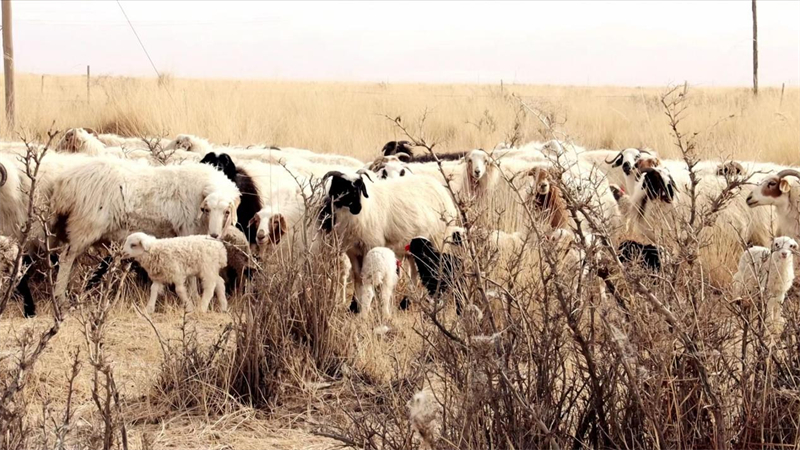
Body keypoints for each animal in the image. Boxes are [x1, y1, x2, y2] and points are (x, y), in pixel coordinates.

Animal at [47, 158, 239, 298]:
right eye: (206, 209)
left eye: (227, 212)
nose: (214, 235)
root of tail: (66, 180)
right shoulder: (187, 233)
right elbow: (191, 273)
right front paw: (194, 296)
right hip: (85, 226)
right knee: (66, 258)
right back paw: (60, 297)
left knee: (73, 260)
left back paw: (72, 290)